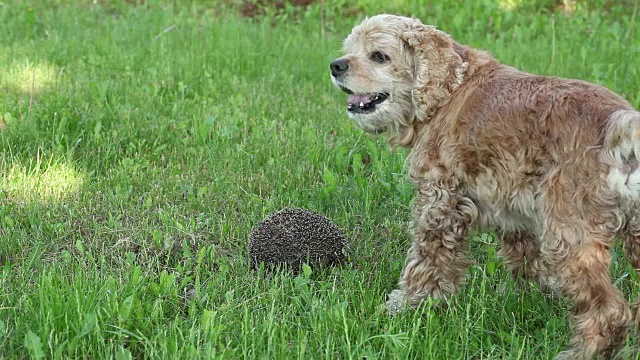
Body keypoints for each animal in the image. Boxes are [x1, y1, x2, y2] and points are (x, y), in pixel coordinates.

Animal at [332, 13, 640, 358]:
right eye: (350, 50)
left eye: (378, 56)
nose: (336, 65)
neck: (448, 91)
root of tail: (618, 126)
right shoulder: (510, 204)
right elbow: (524, 256)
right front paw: (532, 293)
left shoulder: (441, 202)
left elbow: (427, 260)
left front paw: (408, 305)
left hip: (569, 234)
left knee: (609, 309)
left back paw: (581, 352)